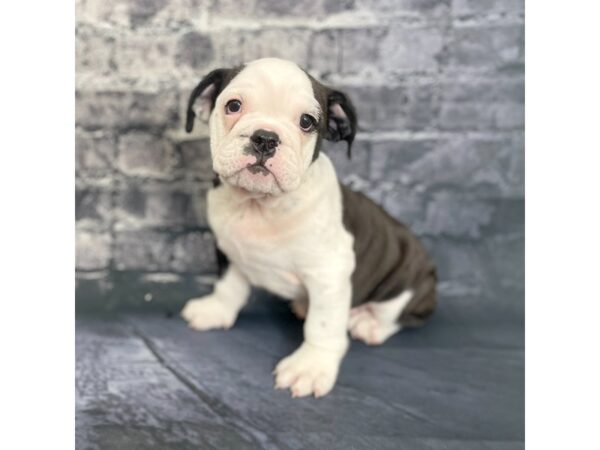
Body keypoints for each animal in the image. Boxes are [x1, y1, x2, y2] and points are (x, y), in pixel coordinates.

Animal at [179, 57, 436, 398]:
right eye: (233, 105)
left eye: (306, 122)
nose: (265, 137)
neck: (261, 206)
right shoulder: (228, 249)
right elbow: (229, 285)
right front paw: (216, 310)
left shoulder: (330, 273)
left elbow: (323, 324)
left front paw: (311, 366)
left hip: (408, 282)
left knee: (398, 314)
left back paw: (368, 323)